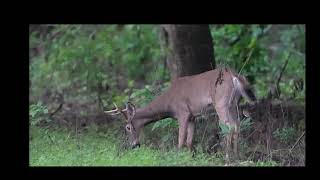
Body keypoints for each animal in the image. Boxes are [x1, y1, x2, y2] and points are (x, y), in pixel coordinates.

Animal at [106, 67, 256, 160]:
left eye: (128, 127)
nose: (134, 145)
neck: (169, 103)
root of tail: (234, 76)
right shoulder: (192, 116)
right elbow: (189, 142)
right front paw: (190, 158)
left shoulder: (182, 113)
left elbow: (180, 141)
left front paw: (178, 157)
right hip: (234, 104)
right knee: (237, 125)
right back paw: (237, 156)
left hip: (221, 102)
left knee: (229, 127)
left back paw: (227, 157)